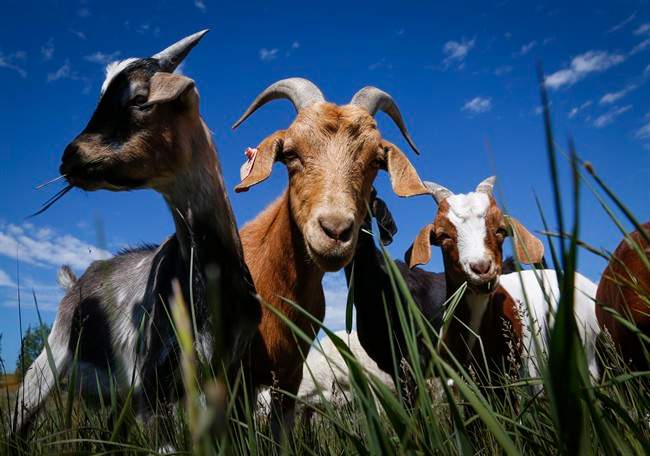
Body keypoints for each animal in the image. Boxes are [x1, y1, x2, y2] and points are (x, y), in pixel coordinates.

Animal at [13, 31, 261, 435]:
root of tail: (76, 282)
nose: (68, 157)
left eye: (139, 98)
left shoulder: (230, 378)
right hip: (47, 363)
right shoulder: (152, 385)